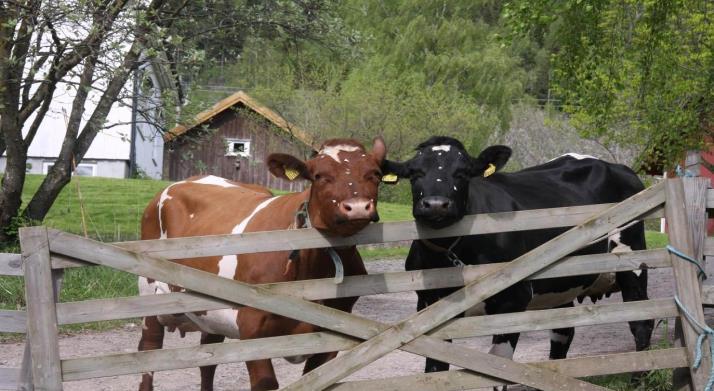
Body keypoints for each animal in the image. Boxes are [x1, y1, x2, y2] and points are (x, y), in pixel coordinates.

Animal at [136, 137, 386, 388]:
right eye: (319, 175)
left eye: (375, 173)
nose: (357, 206)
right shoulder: (252, 327)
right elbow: (265, 383)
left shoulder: (335, 334)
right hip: (149, 293)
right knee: (149, 350)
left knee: (208, 360)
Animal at [384, 138, 652, 376]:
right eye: (414, 173)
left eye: (463, 173)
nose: (436, 204)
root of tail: (618, 168)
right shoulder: (428, 305)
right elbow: (435, 368)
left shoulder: (513, 300)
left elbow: (498, 368)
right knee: (563, 332)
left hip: (632, 258)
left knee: (641, 323)